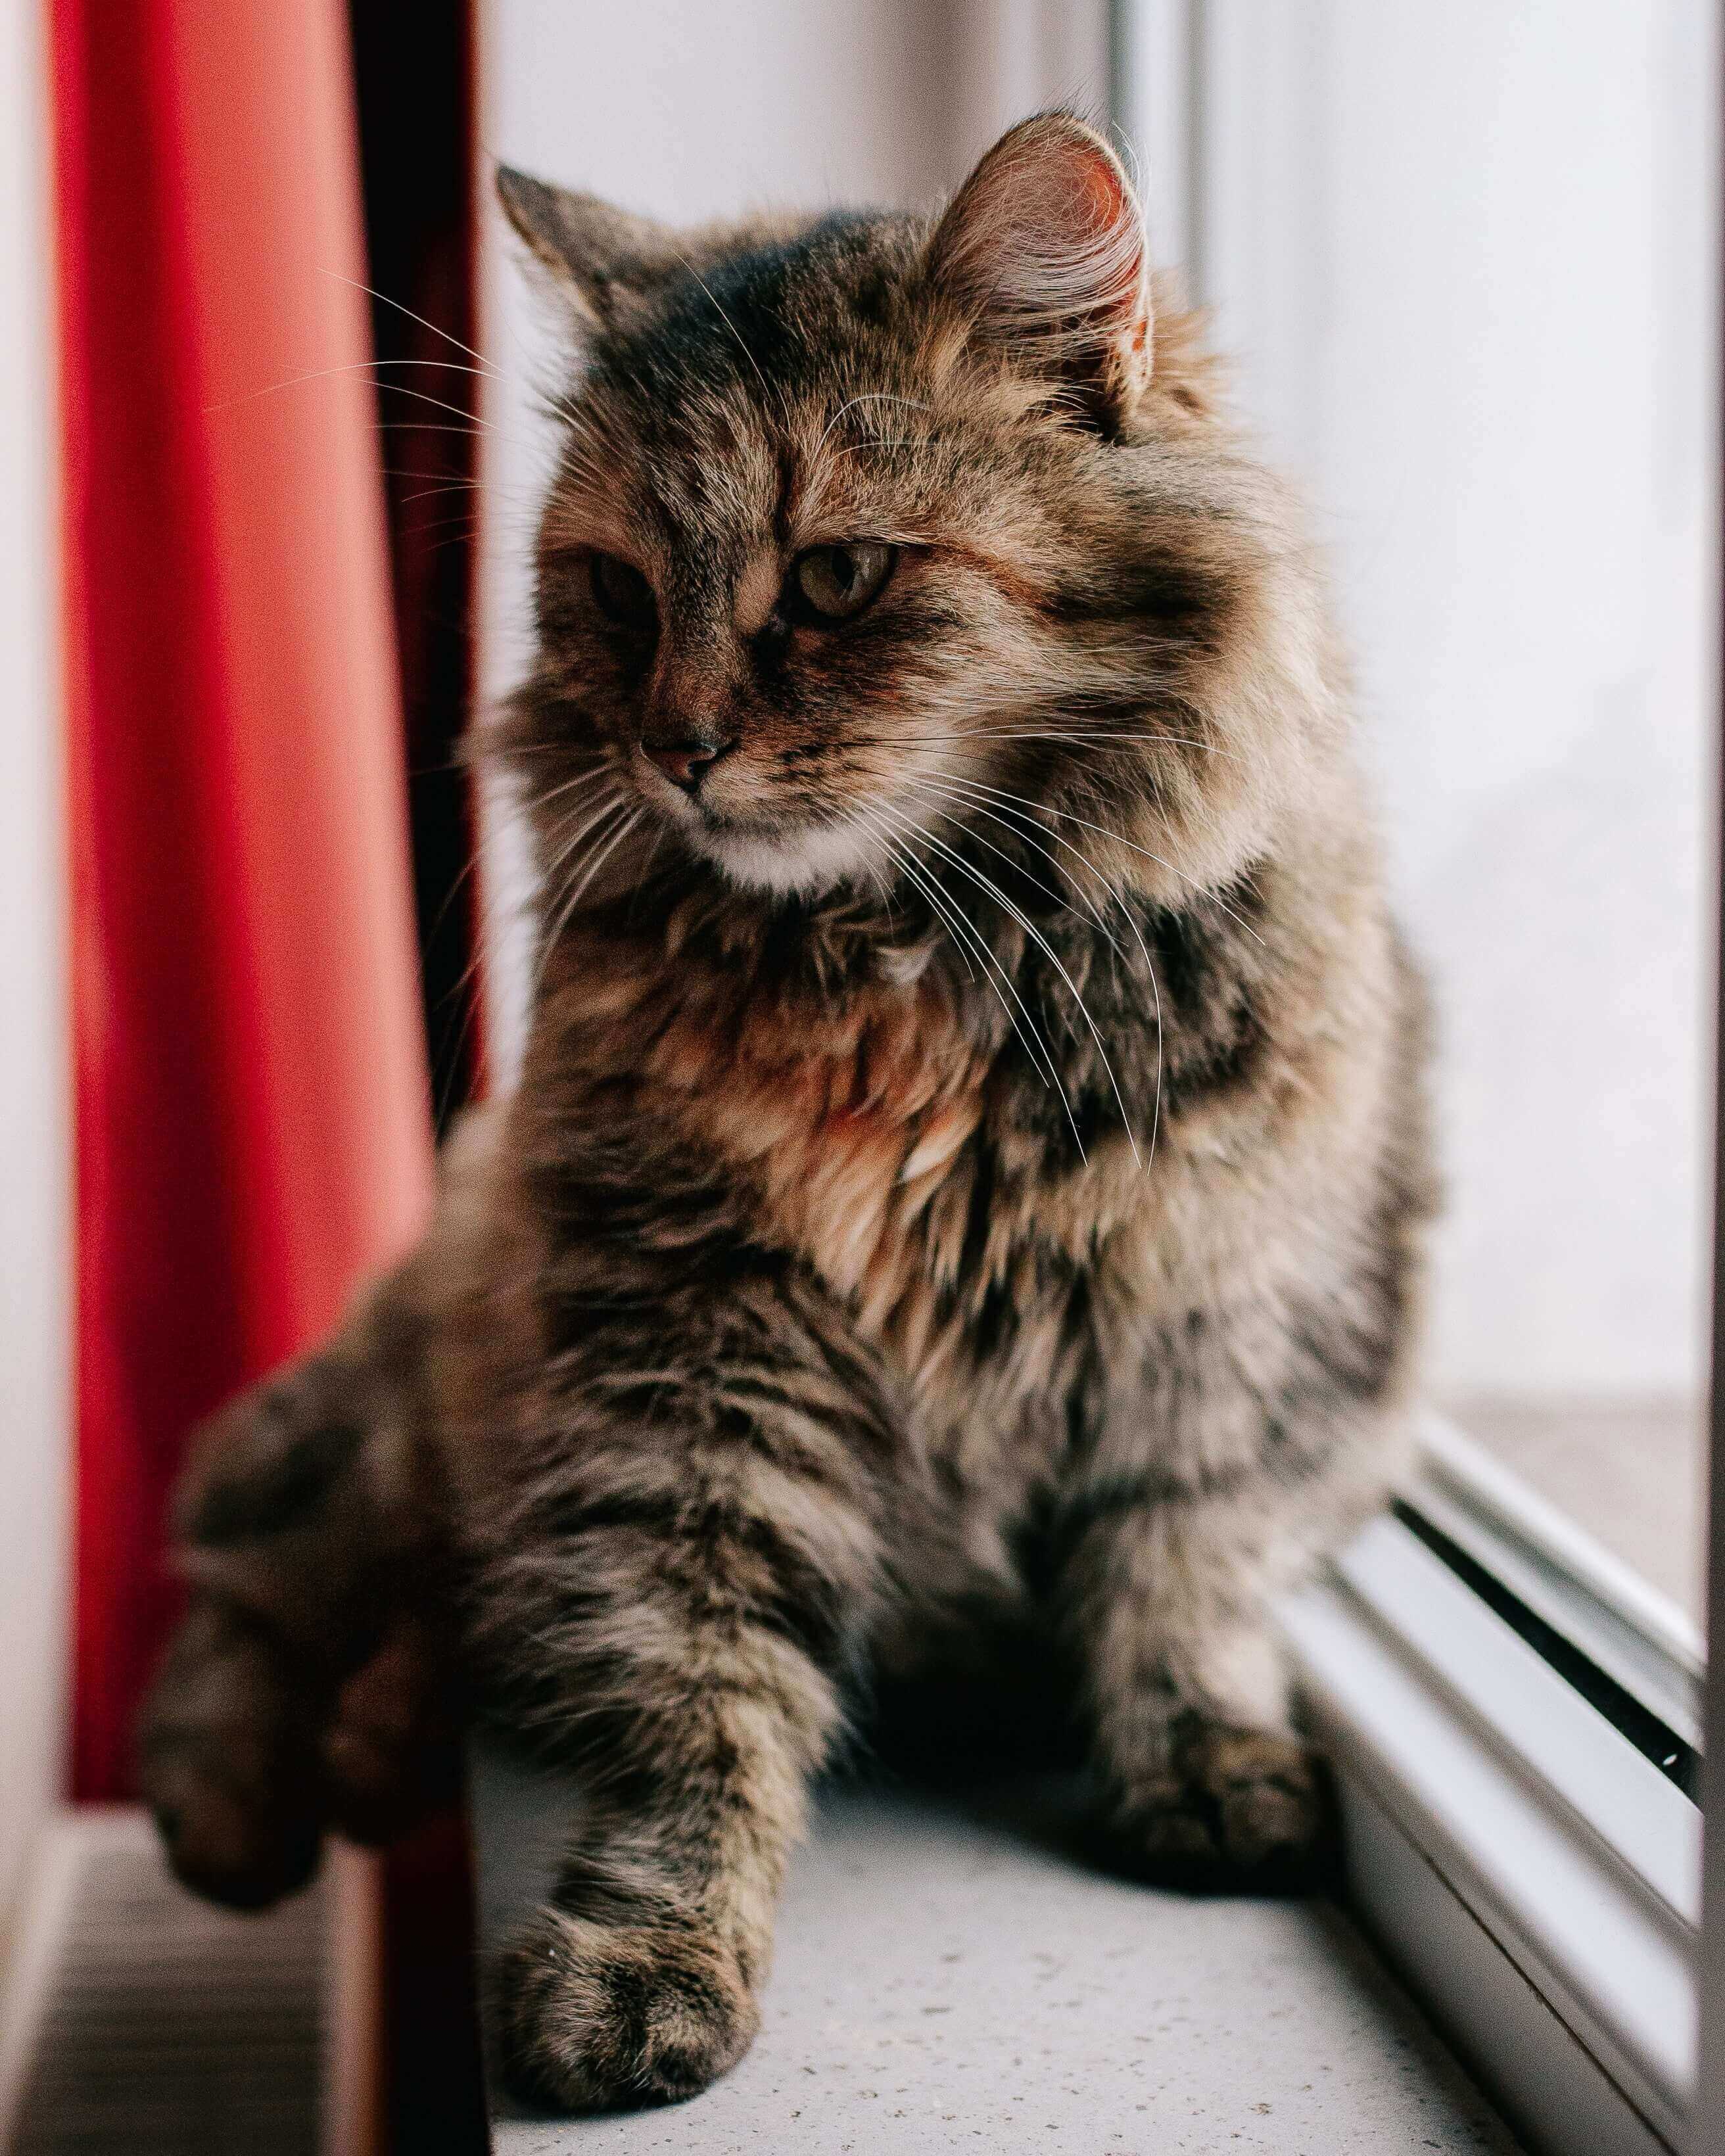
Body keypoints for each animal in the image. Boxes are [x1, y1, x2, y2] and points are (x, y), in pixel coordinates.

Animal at [137, 114, 1431, 2104]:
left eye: (832, 583)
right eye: (617, 595)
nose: (673, 748)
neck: (903, 976)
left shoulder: (1238, 1337)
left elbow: (1180, 1578)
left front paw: (1198, 1766)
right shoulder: (692, 1370)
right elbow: (691, 1714)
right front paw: (642, 1964)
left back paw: (382, 1737)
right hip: (395, 1423)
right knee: (241, 1595)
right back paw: (236, 1814)